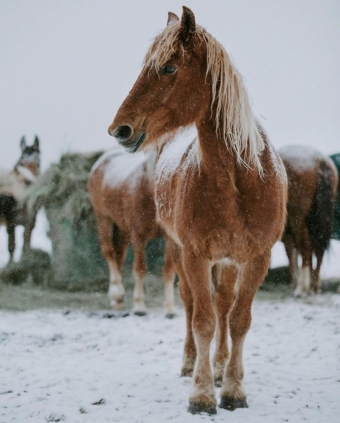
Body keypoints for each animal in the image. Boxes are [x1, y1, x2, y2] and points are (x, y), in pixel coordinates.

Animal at [86, 142, 177, 318]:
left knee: (119, 256)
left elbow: (168, 270)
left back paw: (118, 301)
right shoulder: (138, 236)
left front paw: (170, 309)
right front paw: (139, 307)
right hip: (104, 220)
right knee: (109, 252)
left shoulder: (168, 238)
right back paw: (117, 292)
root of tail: (100, 162)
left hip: (122, 230)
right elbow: (140, 268)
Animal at [107, 6, 286, 416]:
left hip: (228, 261)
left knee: (223, 306)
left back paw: (219, 367)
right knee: (191, 306)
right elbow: (203, 320)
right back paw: (192, 364)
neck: (237, 180)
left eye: (169, 68)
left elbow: (238, 320)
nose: (119, 130)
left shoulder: (257, 258)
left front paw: (232, 389)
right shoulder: (195, 255)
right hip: (181, 252)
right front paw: (201, 394)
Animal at [278, 146, 338, 298]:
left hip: (298, 219)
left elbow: (293, 255)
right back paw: (314, 286)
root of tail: (320, 161)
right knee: (317, 248)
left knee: (306, 247)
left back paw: (301, 288)